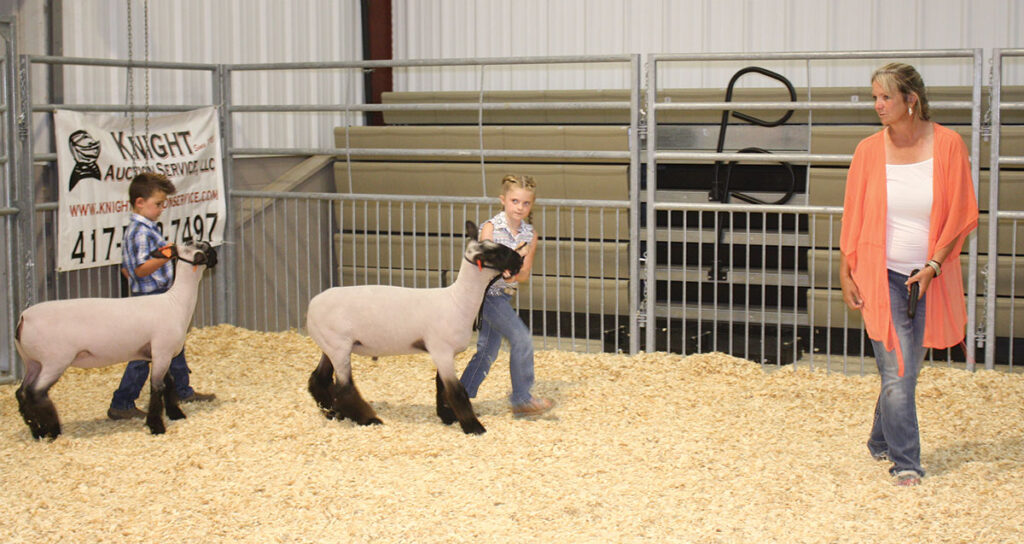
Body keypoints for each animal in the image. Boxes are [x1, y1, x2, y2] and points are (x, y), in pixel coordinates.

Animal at [13, 242, 218, 438]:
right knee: (35, 392)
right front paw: (157, 426)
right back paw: (52, 430)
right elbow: (157, 388)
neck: (176, 302)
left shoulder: (160, 354)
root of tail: (23, 318)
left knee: (22, 392)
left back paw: (37, 431)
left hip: (32, 361)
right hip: (55, 360)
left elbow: (169, 383)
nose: (216, 256)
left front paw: (175, 414)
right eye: (205, 249)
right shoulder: (162, 351)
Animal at [305, 220, 524, 434]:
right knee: (343, 388)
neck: (457, 301)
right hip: (339, 346)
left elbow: (441, 388)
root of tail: (311, 305)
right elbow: (456, 391)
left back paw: (332, 412)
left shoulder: (444, 354)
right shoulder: (442, 351)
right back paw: (368, 419)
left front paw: (448, 417)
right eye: (495, 253)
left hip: (330, 346)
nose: (520, 260)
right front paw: (473, 426)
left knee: (319, 379)